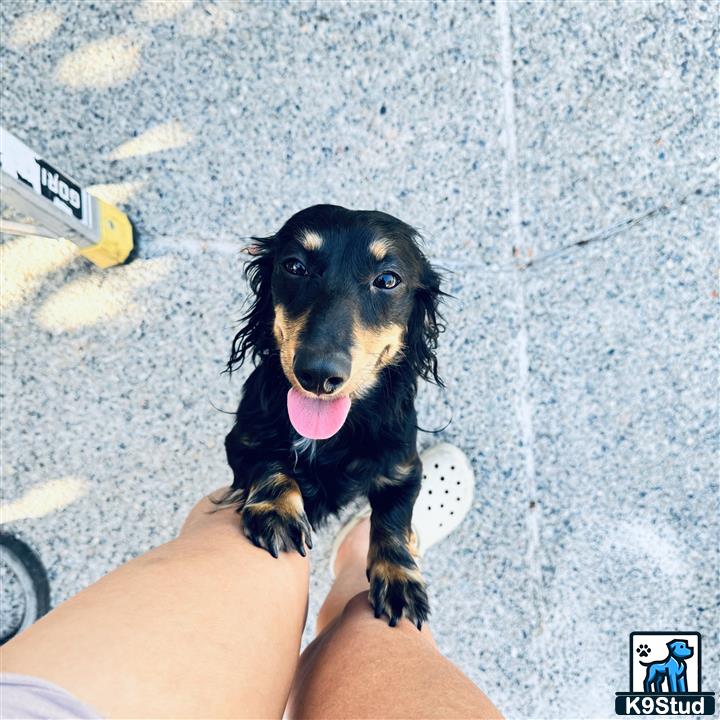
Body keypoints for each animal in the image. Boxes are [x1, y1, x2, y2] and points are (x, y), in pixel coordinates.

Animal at [218, 205, 444, 628]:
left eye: (387, 279)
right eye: (294, 266)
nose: (319, 375)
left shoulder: (404, 468)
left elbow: (393, 518)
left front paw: (399, 578)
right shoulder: (242, 440)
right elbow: (270, 461)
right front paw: (276, 509)